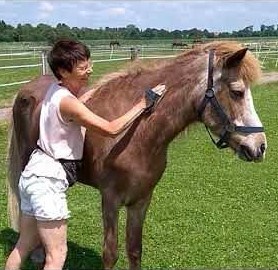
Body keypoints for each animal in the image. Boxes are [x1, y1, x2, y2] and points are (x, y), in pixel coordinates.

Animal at [7, 41, 266, 268]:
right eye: (237, 92)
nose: (260, 146)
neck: (138, 132)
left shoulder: (141, 200)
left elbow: (134, 250)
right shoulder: (110, 199)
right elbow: (110, 253)